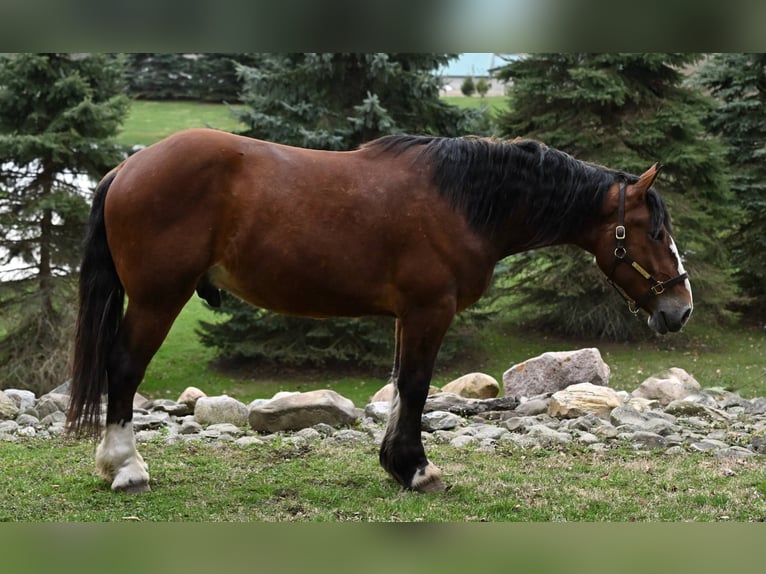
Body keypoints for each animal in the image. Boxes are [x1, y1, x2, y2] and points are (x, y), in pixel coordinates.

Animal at [66, 129, 693, 494]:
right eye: (655, 232)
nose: (680, 308)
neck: (463, 200)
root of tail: (128, 167)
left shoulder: (406, 315)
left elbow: (399, 384)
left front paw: (396, 462)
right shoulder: (429, 310)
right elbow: (414, 385)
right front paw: (417, 469)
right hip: (157, 299)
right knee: (123, 368)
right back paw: (126, 468)